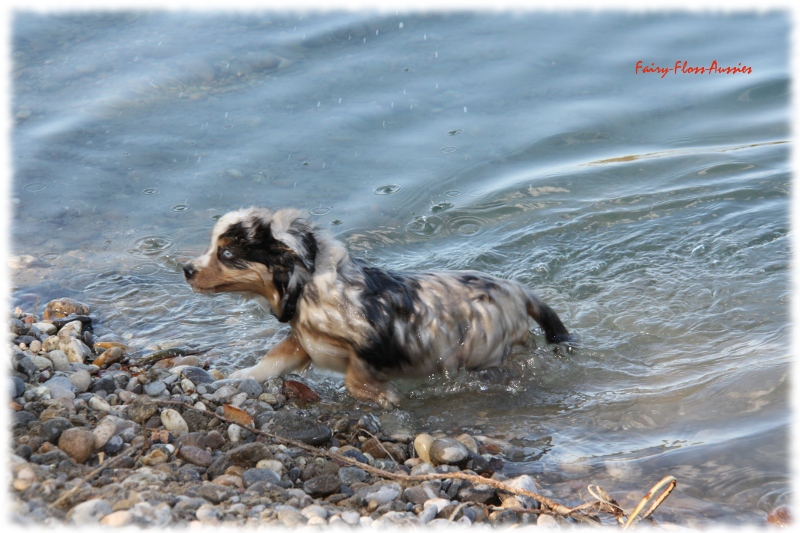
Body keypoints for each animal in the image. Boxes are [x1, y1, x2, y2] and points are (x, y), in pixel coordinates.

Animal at [183, 206, 568, 406]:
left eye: (226, 254)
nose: (186, 270)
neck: (309, 287)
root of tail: (519, 291)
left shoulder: (371, 346)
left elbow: (356, 379)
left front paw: (386, 396)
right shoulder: (302, 341)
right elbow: (271, 360)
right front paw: (238, 377)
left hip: (487, 352)